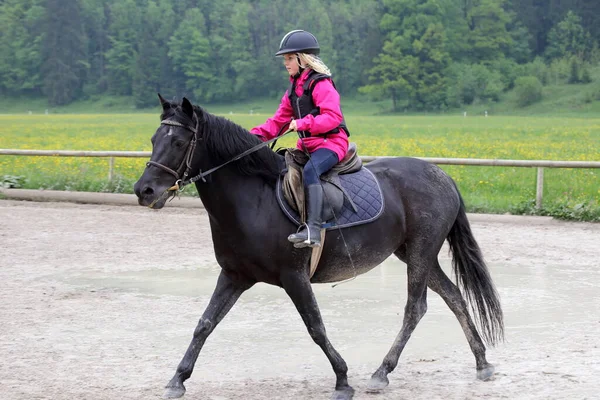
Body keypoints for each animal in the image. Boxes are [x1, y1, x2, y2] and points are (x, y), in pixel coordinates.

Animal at [135, 96, 502, 400]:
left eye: (179, 141)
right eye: (153, 140)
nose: (144, 190)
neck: (254, 201)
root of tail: (440, 174)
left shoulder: (294, 277)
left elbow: (315, 327)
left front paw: (342, 379)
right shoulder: (234, 276)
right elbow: (205, 323)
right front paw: (177, 379)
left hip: (421, 252)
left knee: (416, 308)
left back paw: (382, 372)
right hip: (414, 252)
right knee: (453, 296)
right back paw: (482, 362)